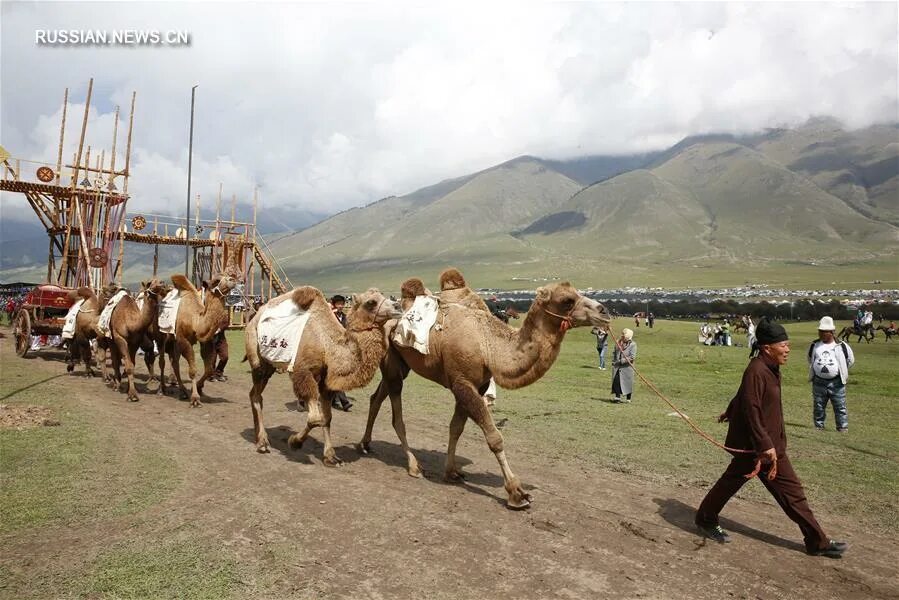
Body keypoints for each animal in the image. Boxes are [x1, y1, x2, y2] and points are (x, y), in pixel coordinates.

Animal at [161, 274, 239, 408]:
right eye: (217, 280)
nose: (233, 279)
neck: (195, 320)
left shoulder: (204, 342)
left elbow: (209, 369)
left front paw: (198, 387)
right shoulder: (184, 340)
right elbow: (193, 370)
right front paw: (195, 399)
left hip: (173, 341)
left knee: (174, 362)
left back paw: (182, 391)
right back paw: (161, 389)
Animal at [246, 288, 400, 466]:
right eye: (371, 302)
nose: (398, 306)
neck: (327, 346)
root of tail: (255, 317)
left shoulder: (326, 383)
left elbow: (327, 417)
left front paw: (331, 456)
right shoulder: (304, 374)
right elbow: (315, 418)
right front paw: (294, 442)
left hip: (269, 365)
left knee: (255, 395)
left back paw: (259, 437)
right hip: (258, 358)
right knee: (256, 394)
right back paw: (262, 443)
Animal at [358, 272, 612, 510]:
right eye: (567, 300)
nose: (605, 311)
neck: (488, 344)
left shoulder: (473, 384)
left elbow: (456, 428)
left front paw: (452, 472)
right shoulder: (462, 382)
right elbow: (494, 438)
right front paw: (517, 493)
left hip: (400, 363)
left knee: (376, 397)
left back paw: (365, 444)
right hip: (392, 362)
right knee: (396, 414)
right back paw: (413, 466)